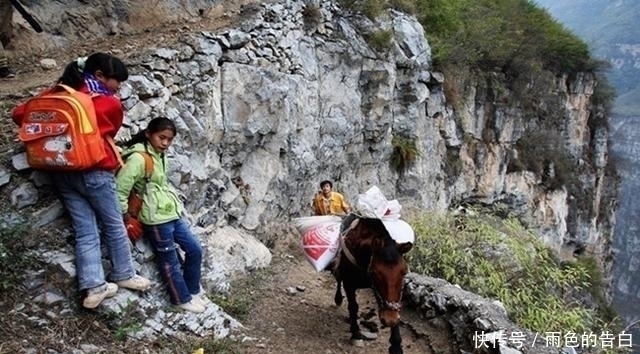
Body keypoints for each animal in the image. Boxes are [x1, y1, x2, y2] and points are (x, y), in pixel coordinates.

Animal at [332, 214, 412, 354]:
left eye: (404, 272)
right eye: (374, 273)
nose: (389, 319)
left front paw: (396, 345)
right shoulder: (349, 284)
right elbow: (353, 307)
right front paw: (356, 333)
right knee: (338, 279)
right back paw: (338, 299)